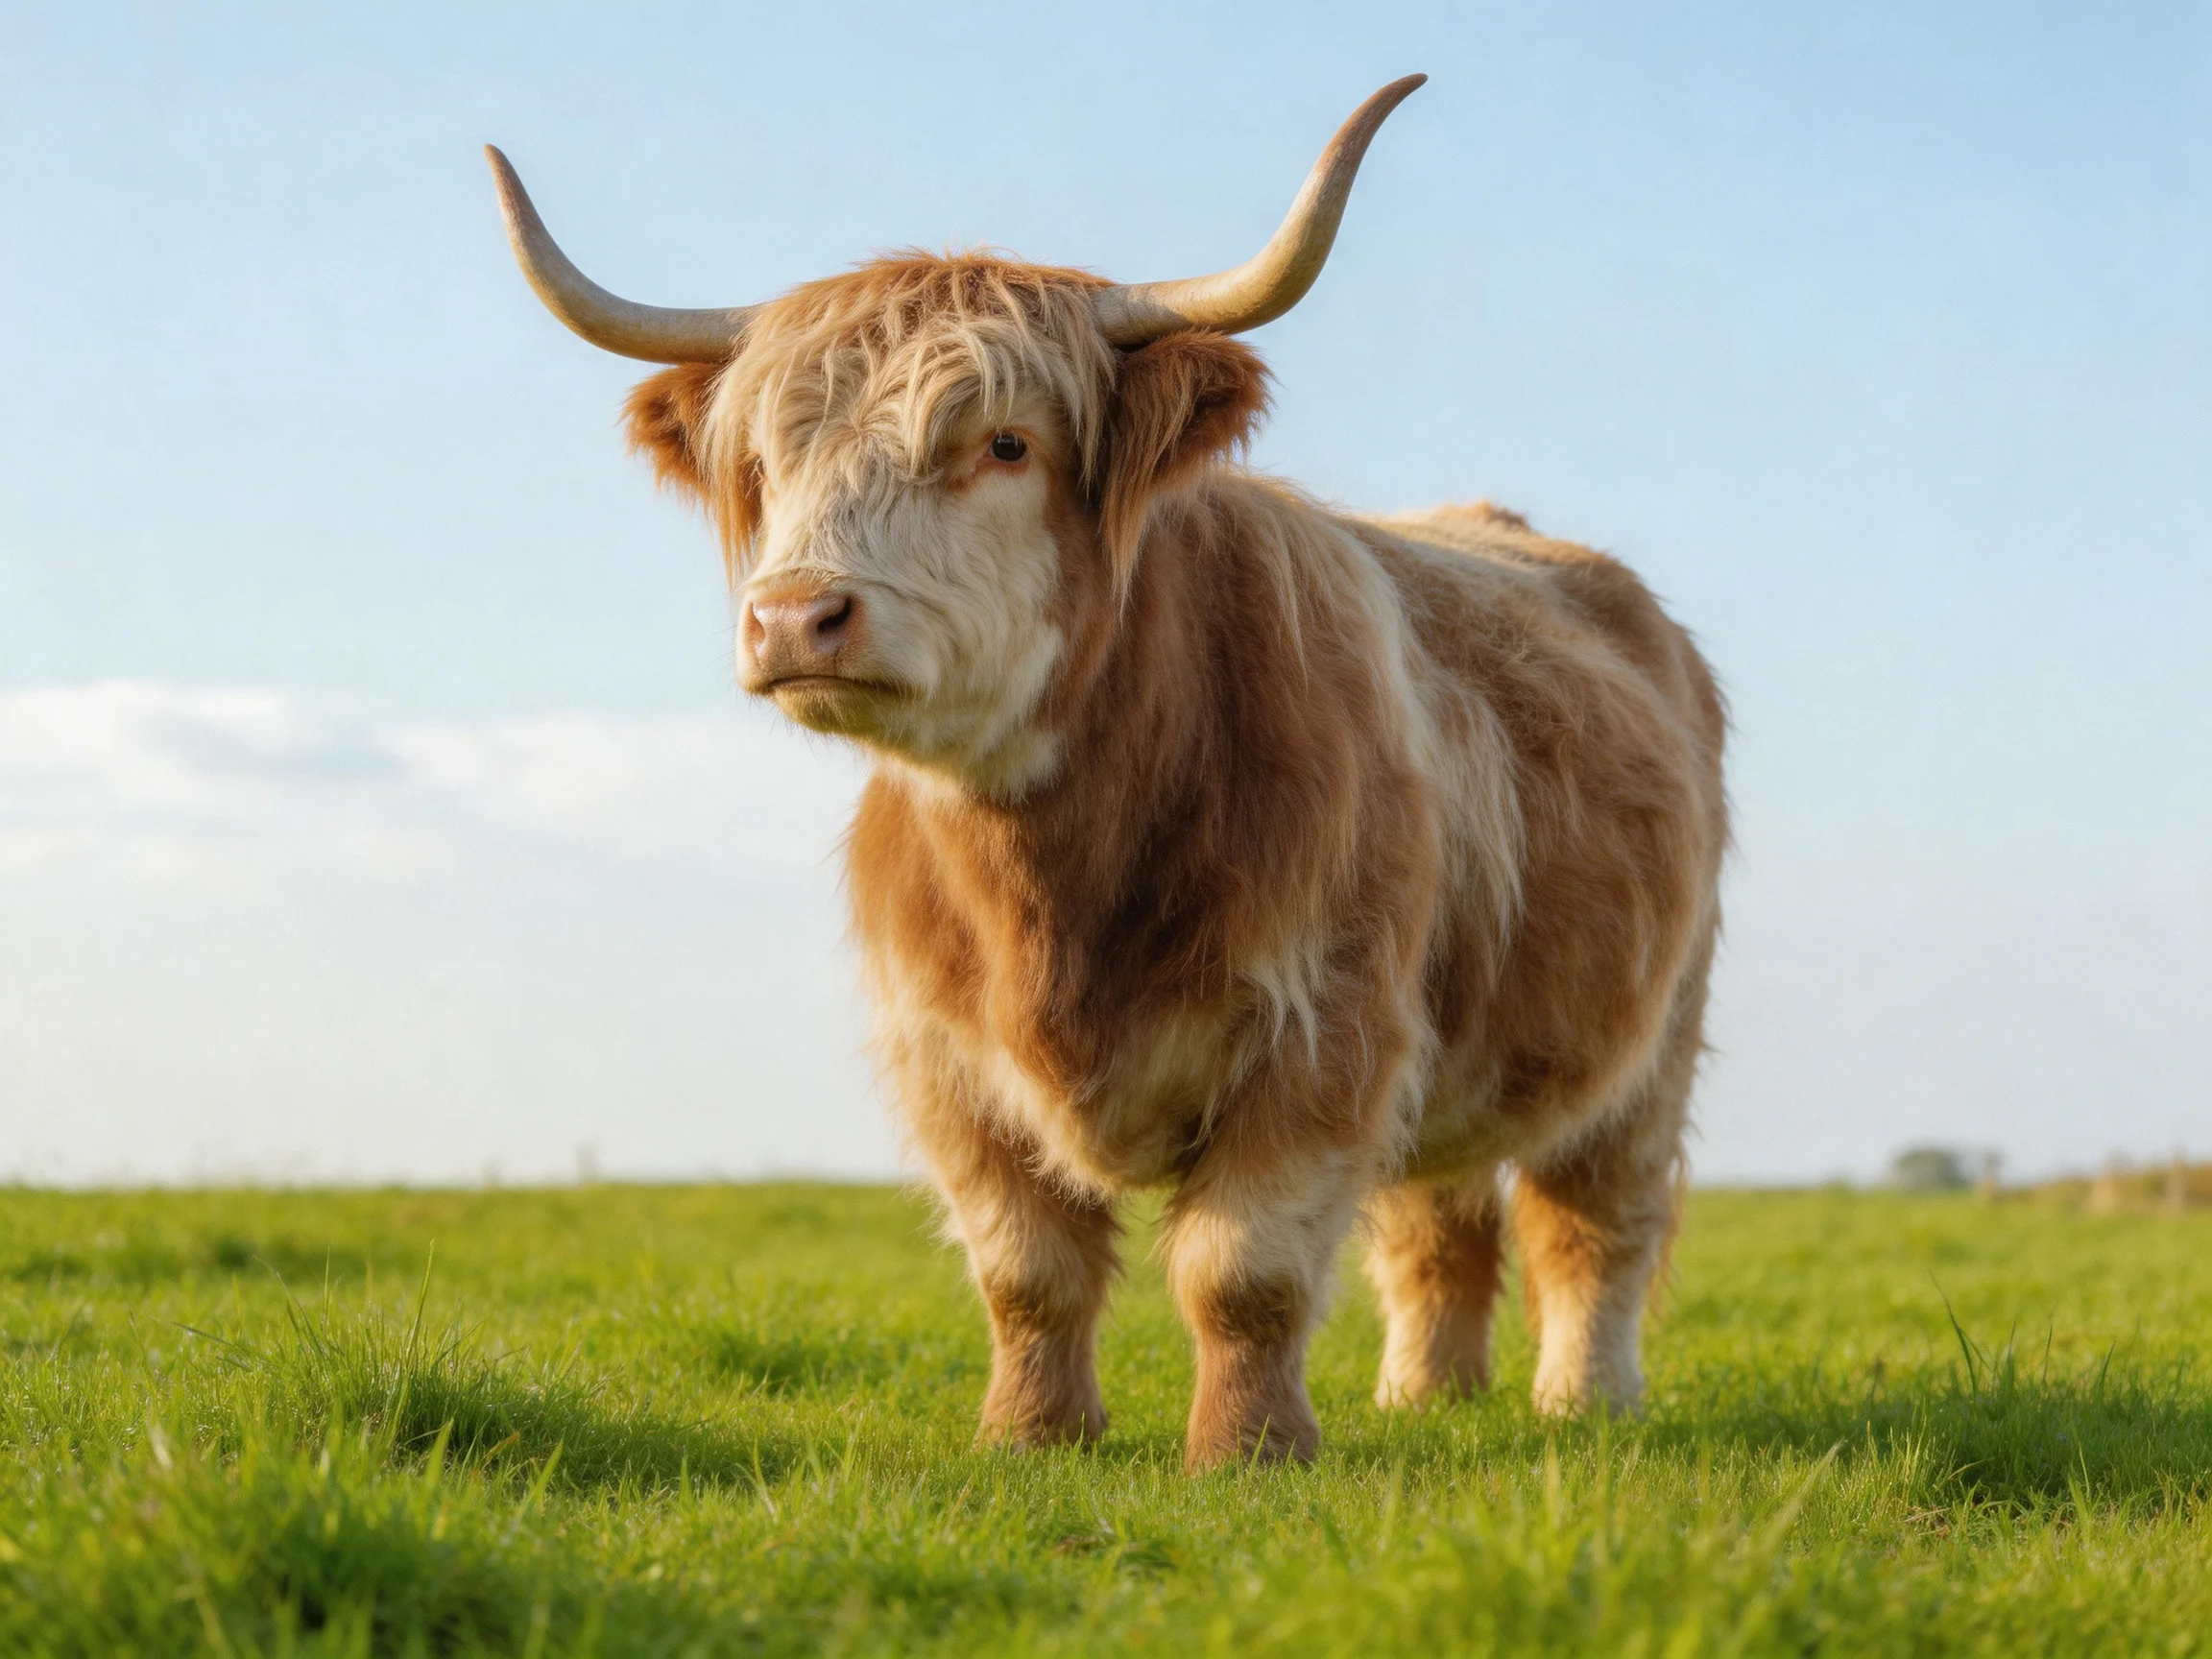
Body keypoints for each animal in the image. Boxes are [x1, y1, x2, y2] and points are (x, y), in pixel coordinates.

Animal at [487, 76, 1728, 1470]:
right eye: (763, 467)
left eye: (1005, 445)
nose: (797, 618)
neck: (1059, 882)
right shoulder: (947, 1060)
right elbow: (1028, 1269)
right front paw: (1031, 1437)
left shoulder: (1330, 1026)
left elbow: (1243, 1270)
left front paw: (1246, 1455)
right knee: (1437, 1223)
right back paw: (1424, 1399)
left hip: (1650, 1039)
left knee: (1594, 1224)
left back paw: (1586, 1405)